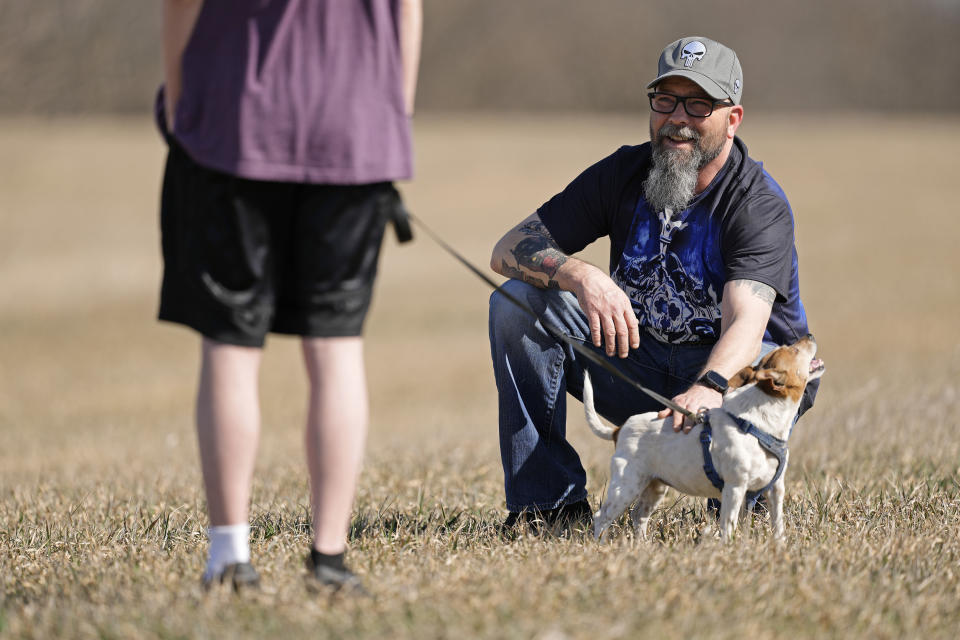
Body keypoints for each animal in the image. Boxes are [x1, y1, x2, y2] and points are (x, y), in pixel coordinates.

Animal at [584, 336, 824, 540]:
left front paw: (778, 546)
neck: (758, 425)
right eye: (794, 350)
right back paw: (600, 546)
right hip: (627, 484)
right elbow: (728, 526)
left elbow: (778, 525)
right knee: (602, 517)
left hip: (655, 486)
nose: (810, 335)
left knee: (638, 515)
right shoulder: (735, 488)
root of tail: (620, 429)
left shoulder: (775, 490)